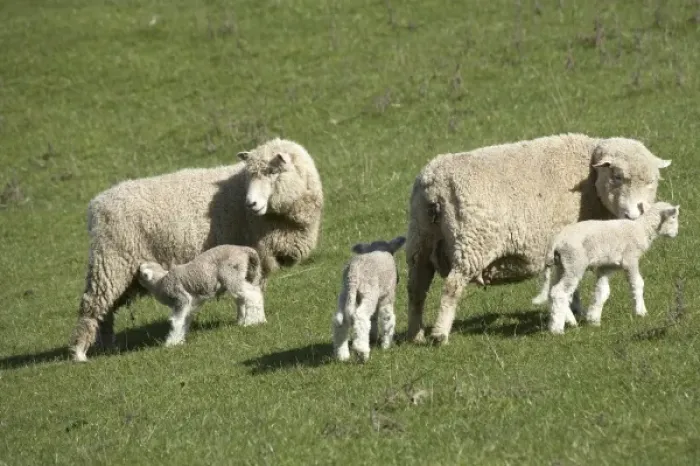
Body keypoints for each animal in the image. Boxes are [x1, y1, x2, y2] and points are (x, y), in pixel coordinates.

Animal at [70, 137, 323, 362]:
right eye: (250, 175)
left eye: (272, 172)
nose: (250, 204)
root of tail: (96, 205)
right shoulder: (253, 253)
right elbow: (249, 291)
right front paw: (250, 320)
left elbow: (245, 291)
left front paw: (243, 320)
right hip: (111, 262)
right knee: (92, 306)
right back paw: (80, 353)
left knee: (106, 312)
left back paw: (106, 348)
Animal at [538, 201, 680, 334]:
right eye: (673, 217)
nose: (676, 233)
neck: (642, 229)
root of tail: (556, 241)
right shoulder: (630, 258)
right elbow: (637, 284)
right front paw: (641, 312)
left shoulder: (607, 266)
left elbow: (602, 291)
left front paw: (594, 319)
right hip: (574, 261)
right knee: (559, 292)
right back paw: (557, 329)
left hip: (562, 265)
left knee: (553, 292)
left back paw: (569, 321)